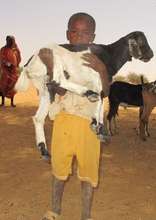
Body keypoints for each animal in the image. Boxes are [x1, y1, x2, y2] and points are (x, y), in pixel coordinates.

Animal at [14, 30, 154, 160]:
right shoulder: (98, 79)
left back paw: (43, 150)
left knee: (38, 117)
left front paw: (99, 128)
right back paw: (88, 93)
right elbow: (100, 100)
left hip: (45, 89)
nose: (151, 54)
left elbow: (101, 104)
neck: (109, 54)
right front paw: (97, 126)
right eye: (142, 41)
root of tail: (31, 62)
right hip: (55, 64)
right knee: (58, 80)